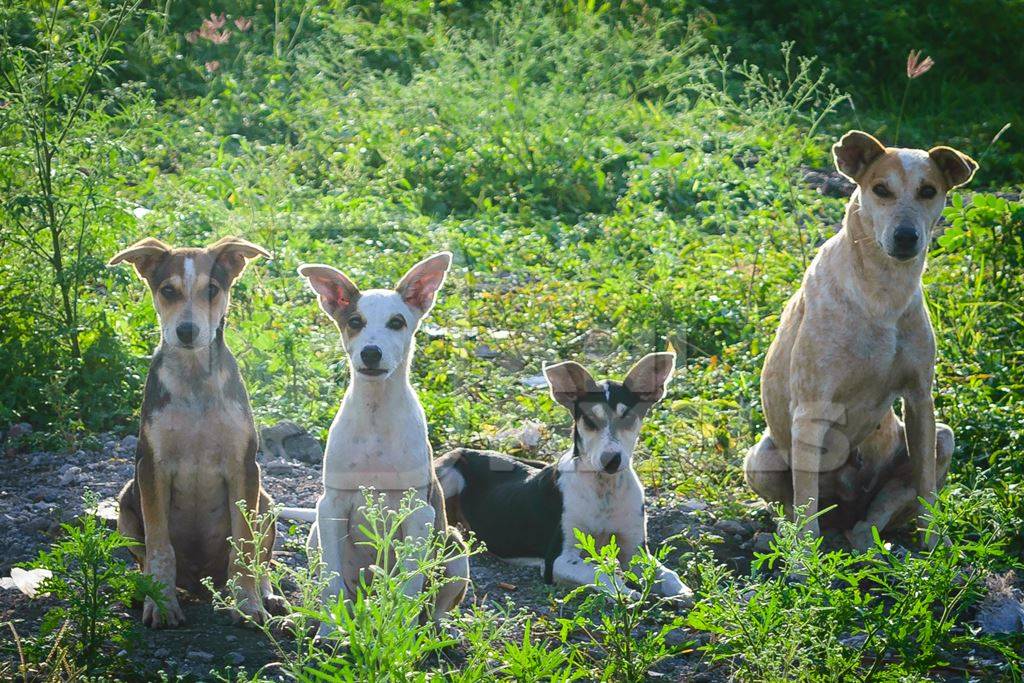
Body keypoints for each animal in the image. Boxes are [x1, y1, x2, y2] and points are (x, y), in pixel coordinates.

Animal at [109, 236, 280, 630]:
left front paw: (247, 603)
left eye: (212, 290)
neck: (195, 381)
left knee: (261, 557)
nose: (186, 331)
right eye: (168, 290)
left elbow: (243, 546)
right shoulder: (151, 468)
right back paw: (143, 590)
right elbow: (160, 546)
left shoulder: (244, 467)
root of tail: (201, 582)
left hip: (266, 500)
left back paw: (266, 593)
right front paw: (160, 603)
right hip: (126, 502)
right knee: (144, 558)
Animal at [290, 250, 468, 634]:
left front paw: (402, 633)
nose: (371, 353)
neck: (375, 414)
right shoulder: (331, 506)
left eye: (397, 322)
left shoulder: (419, 513)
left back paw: (436, 627)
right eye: (355, 321)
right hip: (314, 535)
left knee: (437, 603)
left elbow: (409, 585)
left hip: (455, 546)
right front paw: (329, 631)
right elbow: (331, 580)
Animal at [436, 356, 692, 602]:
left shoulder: (635, 551)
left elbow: (666, 573)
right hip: (448, 474)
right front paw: (627, 593)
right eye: (589, 420)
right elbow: (596, 571)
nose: (611, 460)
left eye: (627, 418)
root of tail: (463, 449)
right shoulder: (558, 559)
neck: (604, 489)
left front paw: (683, 592)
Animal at [745, 132, 974, 548]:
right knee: (794, 508)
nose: (906, 237)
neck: (882, 293)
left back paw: (872, 545)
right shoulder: (811, 410)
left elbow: (927, 489)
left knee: (871, 521)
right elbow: (805, 504)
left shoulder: (920, 400)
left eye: (928, 191)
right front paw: (806, 559)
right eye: (880, 189)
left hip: (942, 439)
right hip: (761, 460)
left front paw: (937, 546)